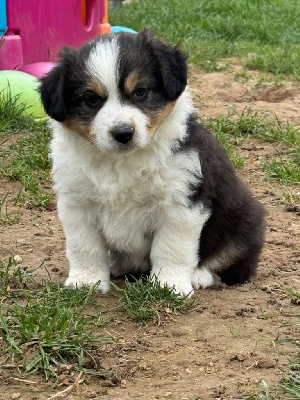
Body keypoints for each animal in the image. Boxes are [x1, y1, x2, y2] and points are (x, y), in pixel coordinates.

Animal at [39, 28, 264, 296]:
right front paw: (87, 281)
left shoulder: (181, 203)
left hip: (243, 223)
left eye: (140, 91)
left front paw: (170, 285)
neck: (121, 162)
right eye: (91, 99)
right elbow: (84, 246)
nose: (123, 133)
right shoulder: (77, 203)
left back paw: (199, 275)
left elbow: (171, 248)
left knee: (232, 264)